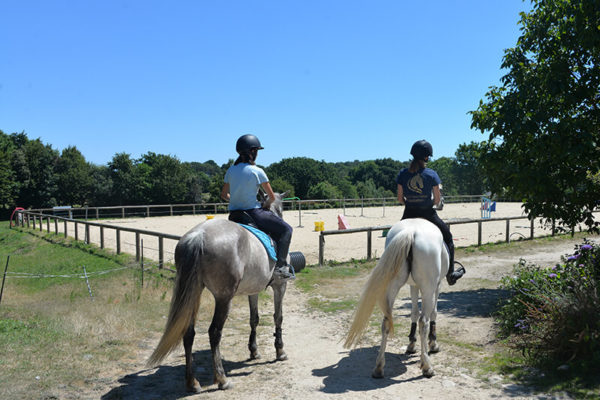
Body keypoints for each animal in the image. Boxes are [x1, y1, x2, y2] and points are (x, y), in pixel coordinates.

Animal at [149, 191, 292, 390]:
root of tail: (198, 236)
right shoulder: (280, 286)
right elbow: (278, 317)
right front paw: (280, 350)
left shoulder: (253, 290)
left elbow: (254, 319)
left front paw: (254, 351)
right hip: (224, 298)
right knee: (214, 332)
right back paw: (222, 378)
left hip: (194, 293)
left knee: (189, 333)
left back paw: (193, 382)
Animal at [344, 219, 448, 378]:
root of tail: (411, 231)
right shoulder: (437, 285)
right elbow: (433, 313)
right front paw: (433, 344)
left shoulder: (413, 285)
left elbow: (413, 313)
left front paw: (411, 344)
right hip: (428, 287)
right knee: (424, 321)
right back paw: (427, 367)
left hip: (392, 286)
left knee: (386, 321)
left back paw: (379, 368)